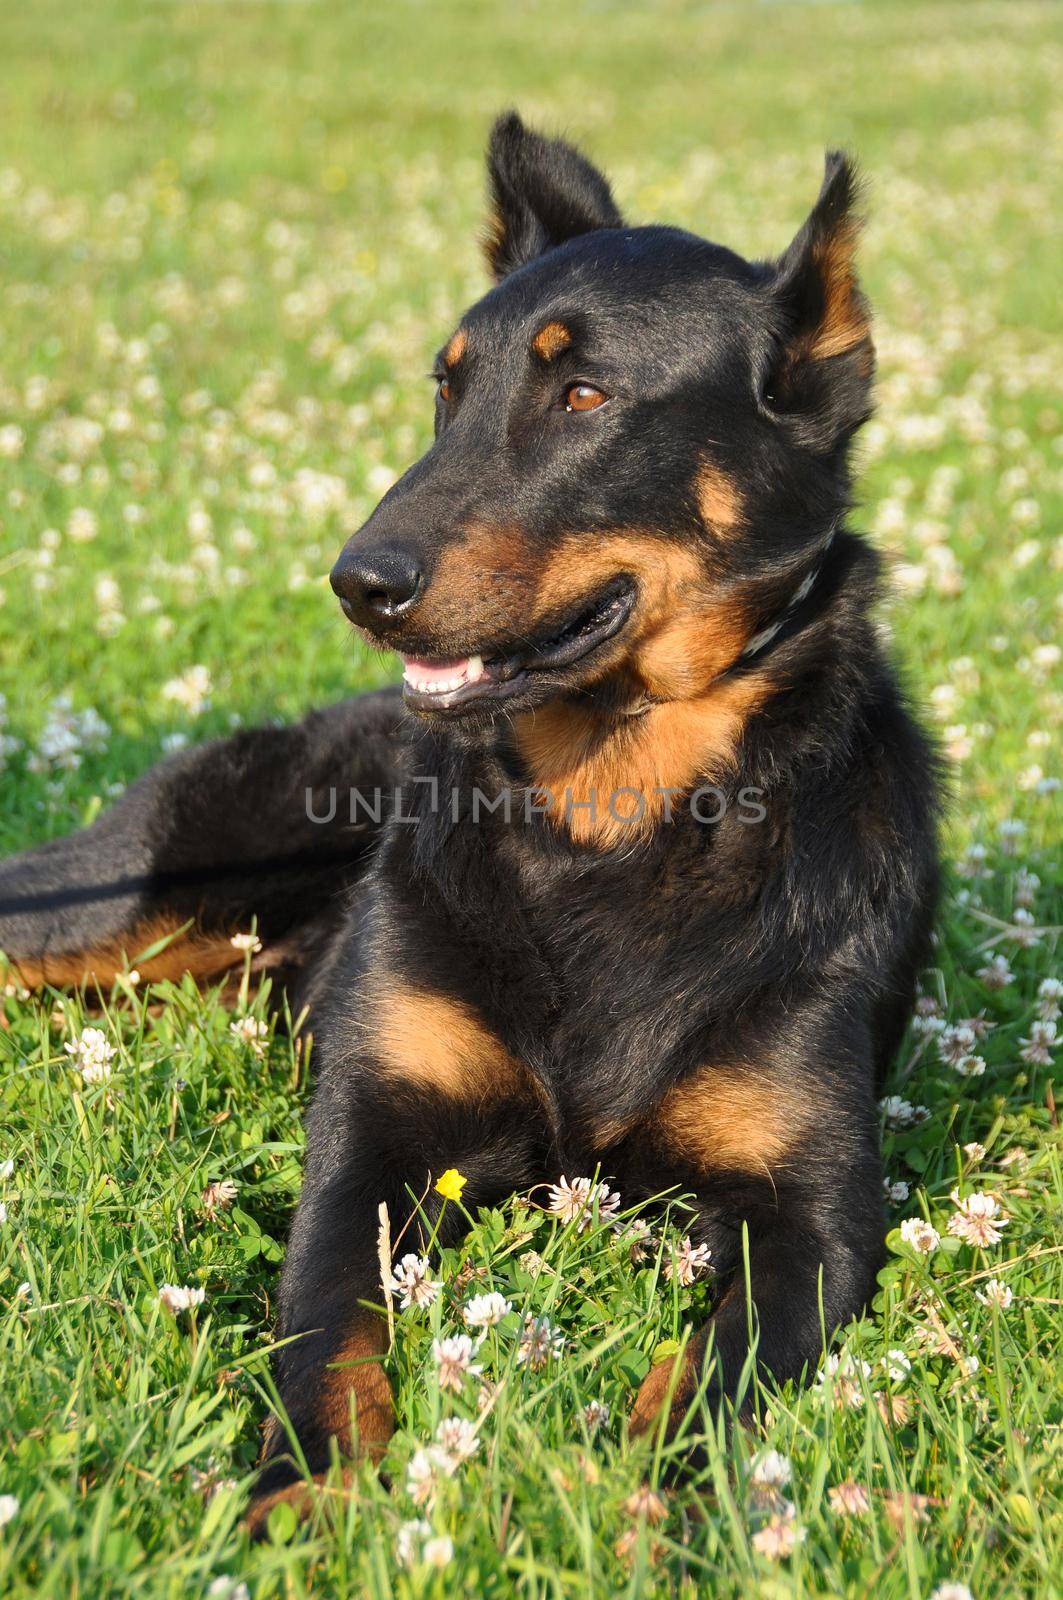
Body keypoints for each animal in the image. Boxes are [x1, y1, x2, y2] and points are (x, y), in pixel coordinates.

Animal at [0, 112, 941, 1523]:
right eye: (447, 389)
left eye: (583, 395)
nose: (356, 584)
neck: (611, 816)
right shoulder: (373, 1139)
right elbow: (327, 1326)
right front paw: (303, 1492)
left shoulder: (811, 1211)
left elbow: (711, 1384)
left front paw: (654, 1512)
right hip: (126, 901)